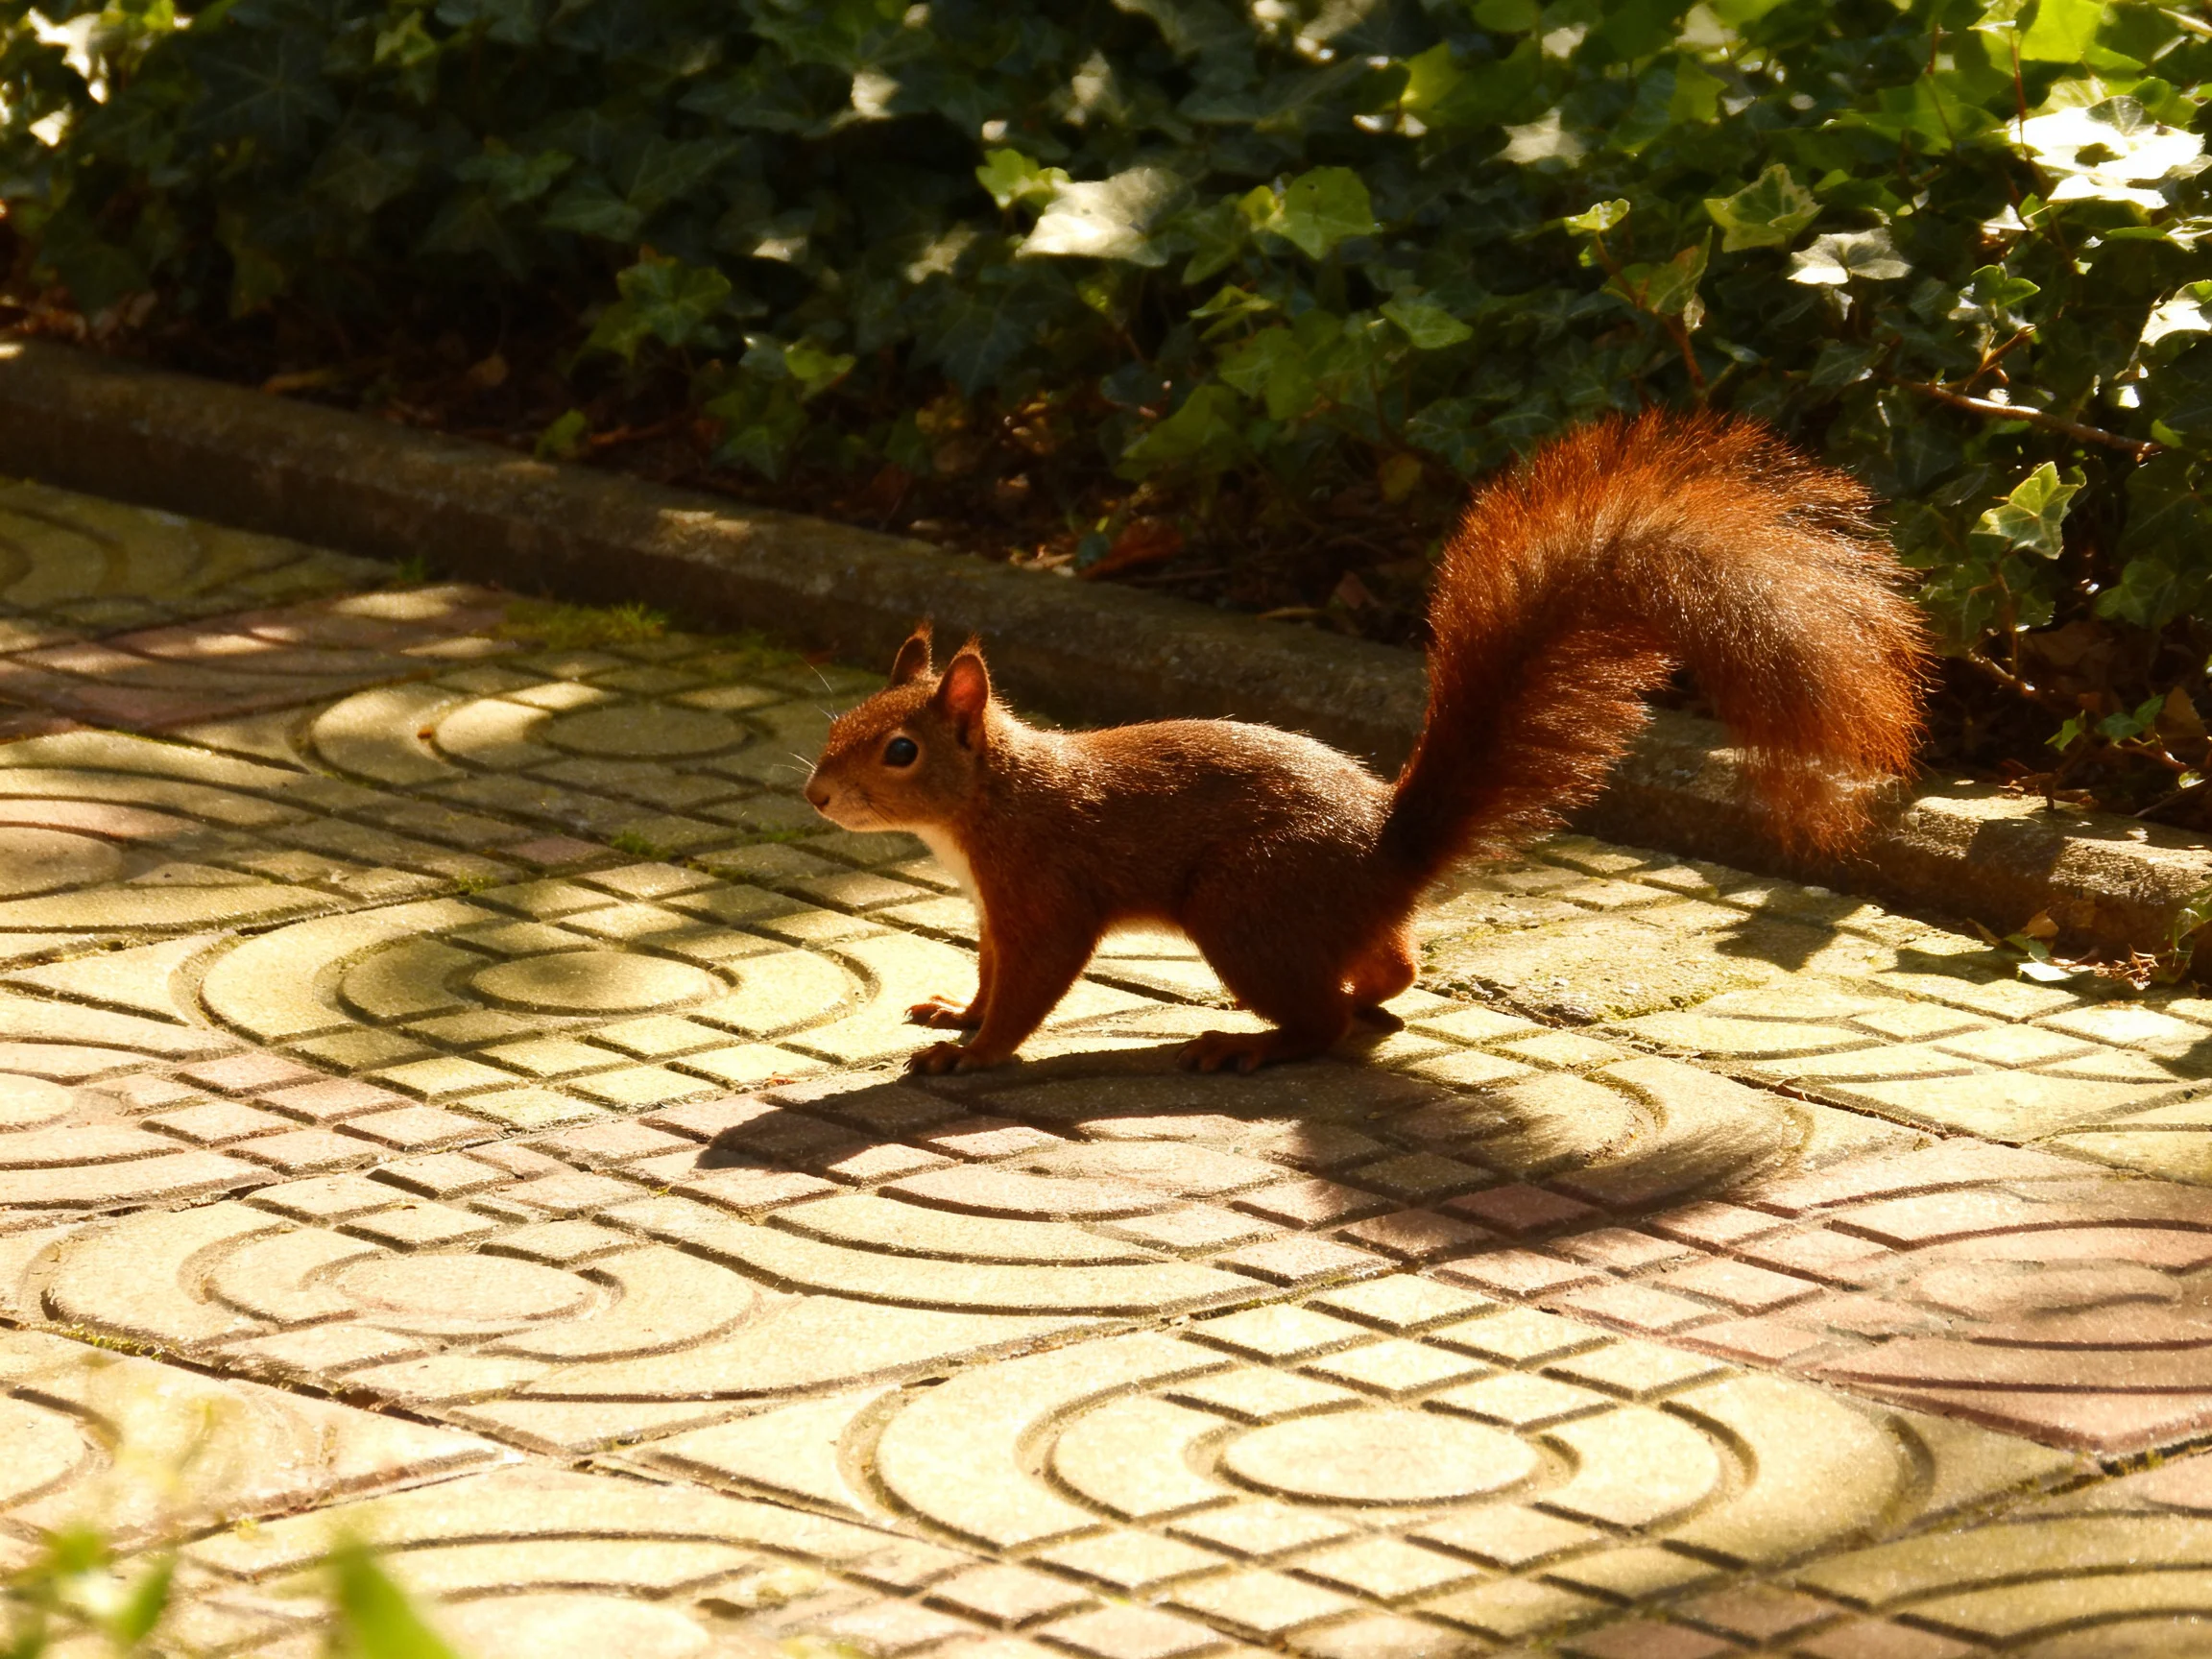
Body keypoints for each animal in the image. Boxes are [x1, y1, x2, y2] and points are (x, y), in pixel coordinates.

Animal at [804, 410, 1930, 1075]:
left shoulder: (1046, 892)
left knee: (1323, 1022)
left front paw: (977, 1053)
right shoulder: (993, 910)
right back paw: (1360, 994)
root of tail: (1388, 855)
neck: (986, 805)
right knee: (1392, 968)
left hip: (1243, 910)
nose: (815, 793)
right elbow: (992, 971)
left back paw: (1247, 1044)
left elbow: (1032, 985)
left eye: (900, 750)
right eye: (835, 725)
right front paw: (956, 1013)